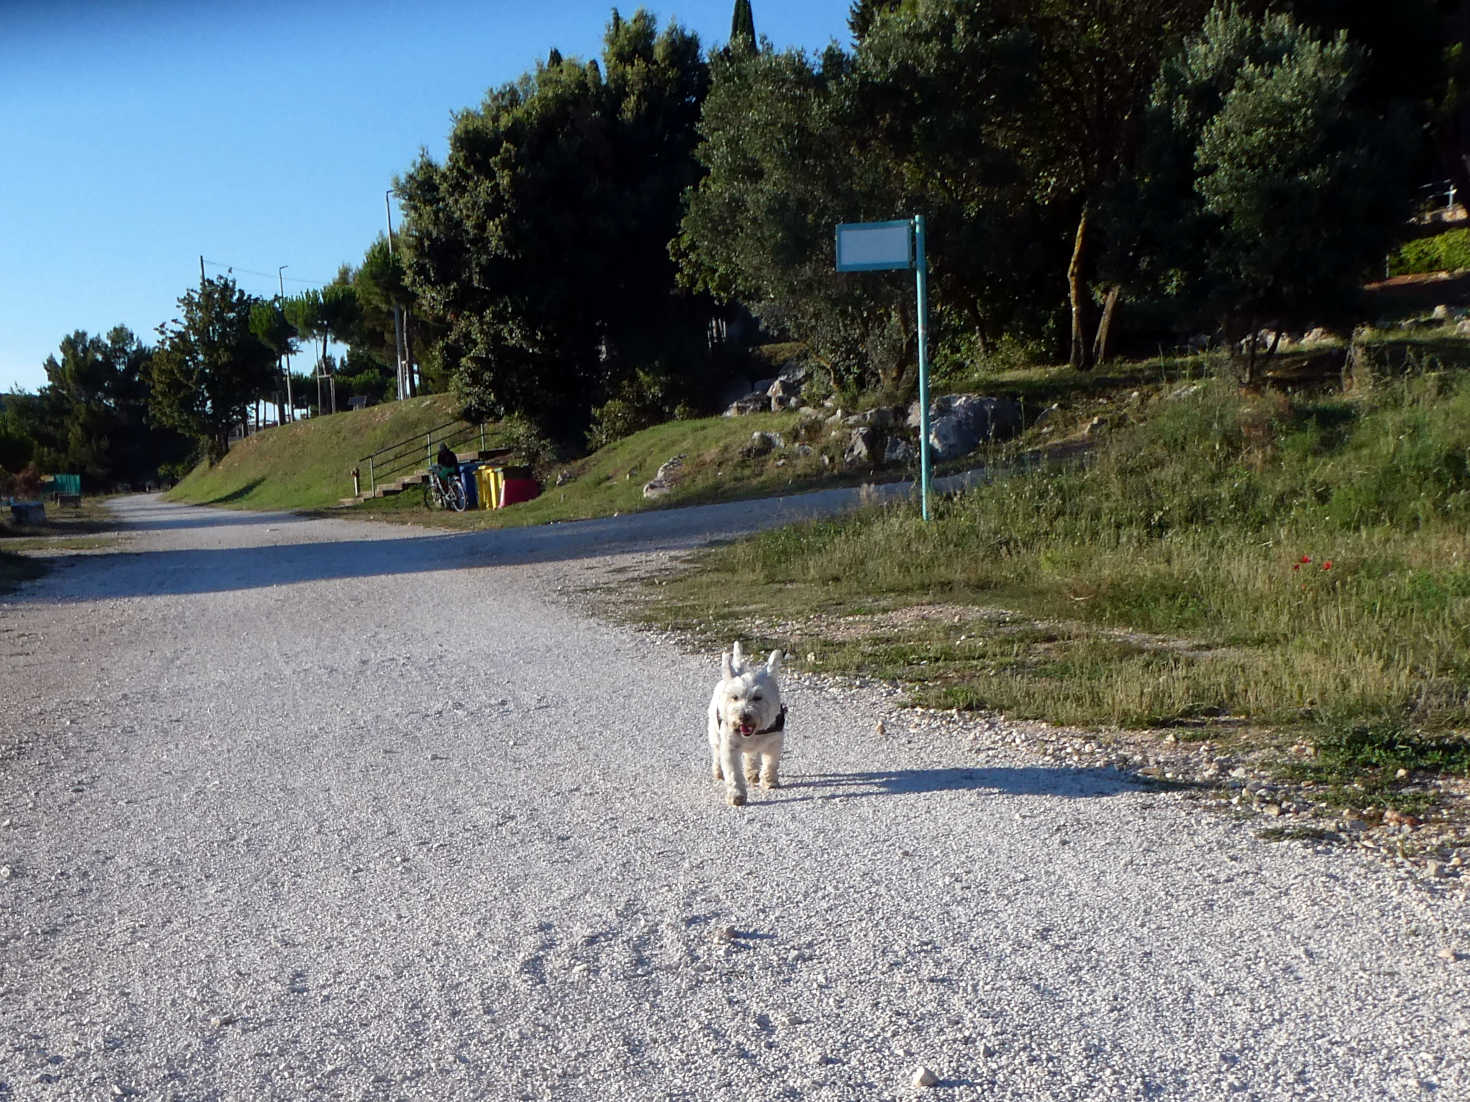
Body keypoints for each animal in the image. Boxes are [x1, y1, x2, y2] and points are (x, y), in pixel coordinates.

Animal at [705, 643, 787, 805]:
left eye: (758, 697)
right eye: (735, 697)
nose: (743, 716)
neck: (754, 733)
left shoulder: (774, 742)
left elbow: (770, 762)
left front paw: (769, 781)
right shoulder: (730, 747)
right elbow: (733, 772)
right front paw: (736, 795)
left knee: (751, 755)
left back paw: (752, 773)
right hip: (714, 732)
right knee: (716, 751)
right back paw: (719, 771)